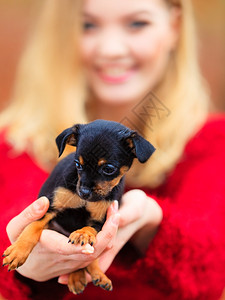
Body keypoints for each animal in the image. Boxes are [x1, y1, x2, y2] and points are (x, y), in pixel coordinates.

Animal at [3, 119, 156, 292]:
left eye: (108, 169)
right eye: (78, 164)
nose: (83, 192)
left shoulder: (100, 220)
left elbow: (90, 228)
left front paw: (83, 234)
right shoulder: (50, 207)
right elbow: (33, 226)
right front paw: (18, 251)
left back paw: (94, 275)